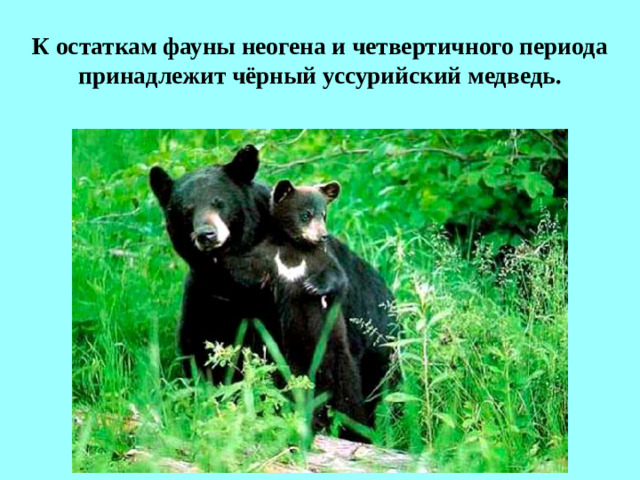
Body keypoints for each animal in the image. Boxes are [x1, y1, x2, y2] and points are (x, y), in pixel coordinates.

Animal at [219, 179, 368, 428]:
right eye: (306, 214)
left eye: (324, 214)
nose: (323, 235)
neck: (294, 248)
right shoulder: (267, 258)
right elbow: (243, 270)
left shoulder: (320, 257)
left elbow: (338, 277)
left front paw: (313, 285)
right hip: (291, 366)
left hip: (341, 363)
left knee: (350, 402)